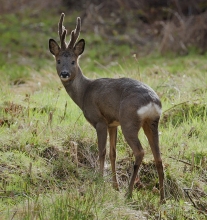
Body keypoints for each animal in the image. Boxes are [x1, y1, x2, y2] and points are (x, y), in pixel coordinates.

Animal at [48, 12, 165, 202]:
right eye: (58, 60)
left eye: (73, 61)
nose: (64, 74)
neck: (84, 93)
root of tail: (153, 101)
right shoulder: (112, 124)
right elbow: (113, 153)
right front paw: (114, 186)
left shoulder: (100, 121)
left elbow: (101, 151)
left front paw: (100, 181)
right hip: (152, 122)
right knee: (159, 157)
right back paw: (162, 198)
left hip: (129, 121)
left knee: (140, 152)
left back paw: (129, 193)